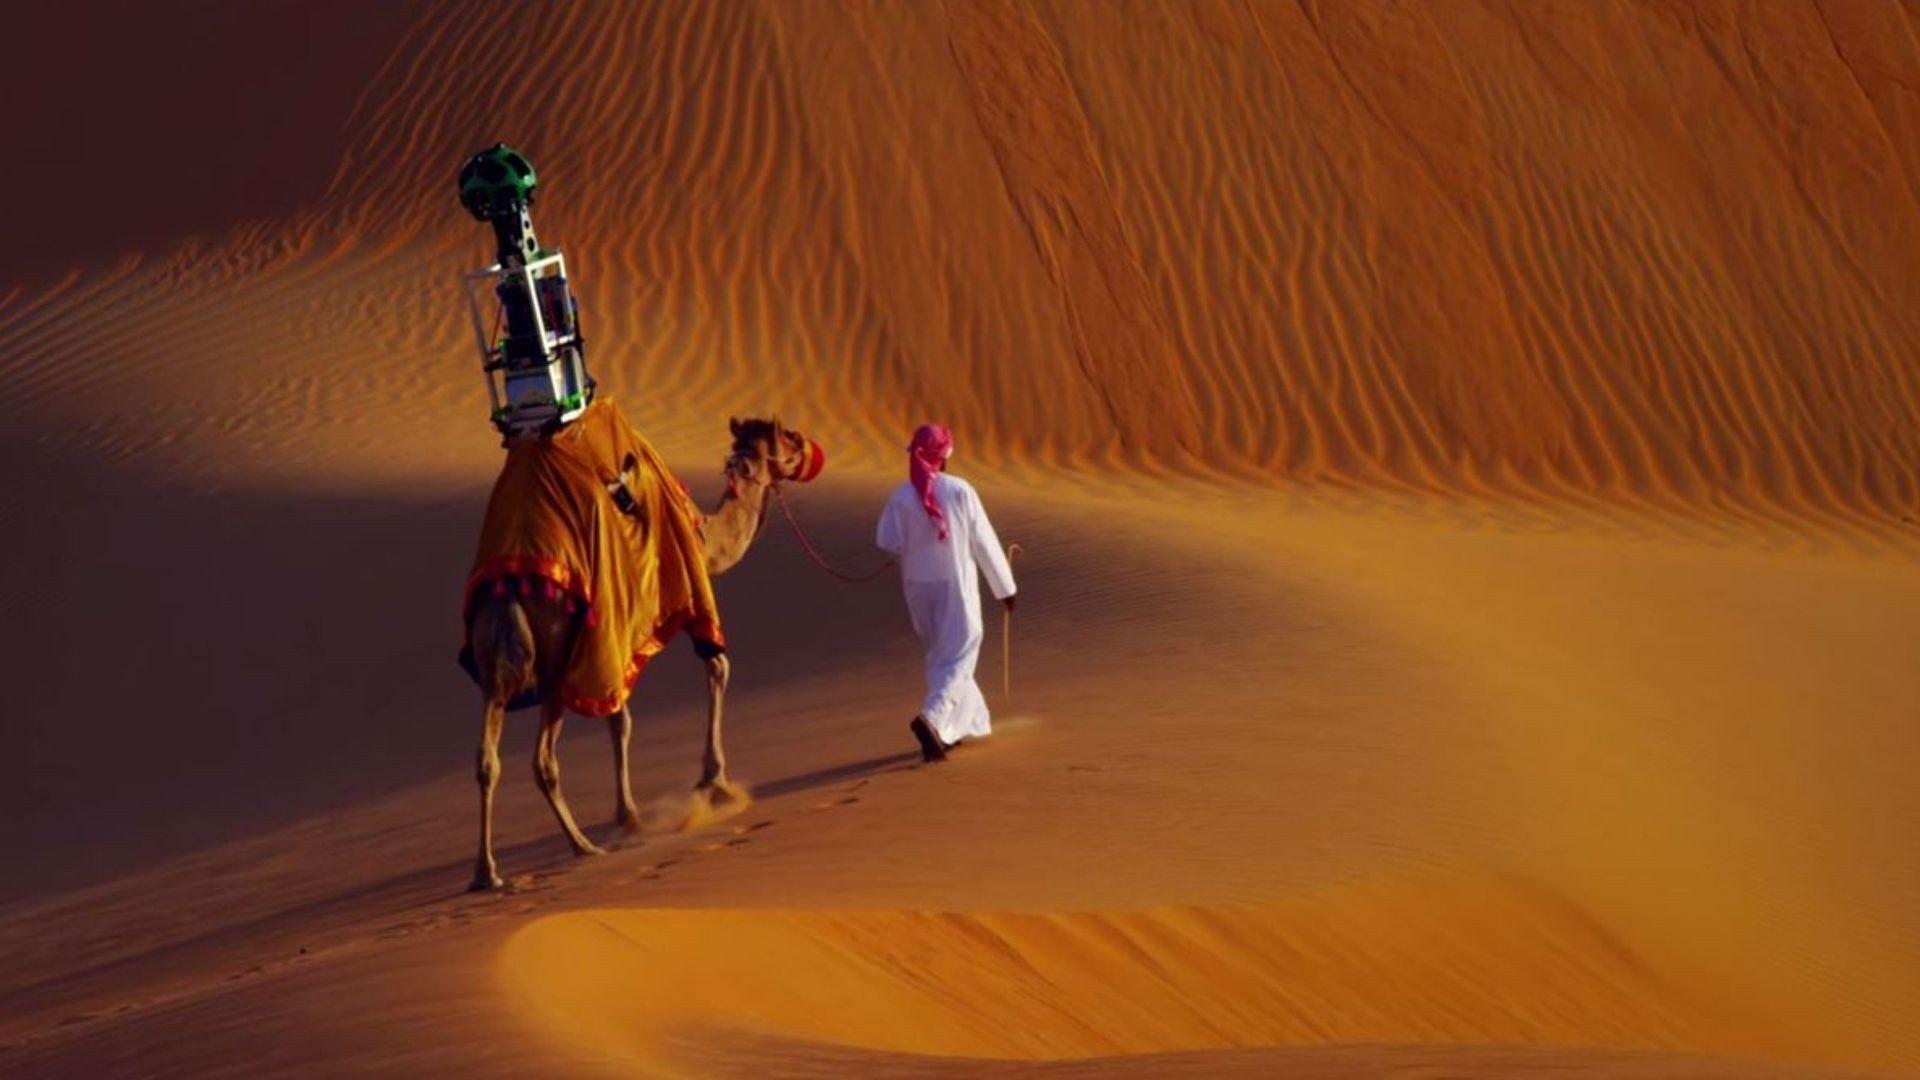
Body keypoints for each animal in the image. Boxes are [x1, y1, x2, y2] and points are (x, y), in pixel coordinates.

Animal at [465, 416, 815, 891]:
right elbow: (715, 667)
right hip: (558, 658)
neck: (703, 532)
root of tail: (509, 589)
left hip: (495, 662)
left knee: (489, 759)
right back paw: (583, 847)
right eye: (790, 439)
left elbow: (619, 720)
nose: (811, 449)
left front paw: (630, 814)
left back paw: (489, 872)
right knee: (543, 759)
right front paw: (711, 783)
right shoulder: (676, 602)